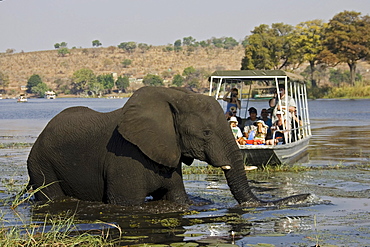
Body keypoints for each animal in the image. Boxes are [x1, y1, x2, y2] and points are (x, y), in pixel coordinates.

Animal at [27, 87, 310, 206]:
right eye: (206, 133)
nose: (307, 197)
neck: (174, 99)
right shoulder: (124, 158)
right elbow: (126, 204)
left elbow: (177, 199)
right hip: (41, 164)